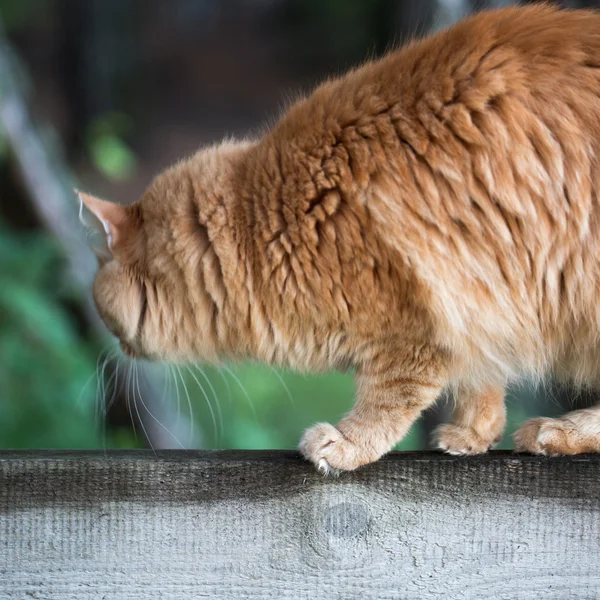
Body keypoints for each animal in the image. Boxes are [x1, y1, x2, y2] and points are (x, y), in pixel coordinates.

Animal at [79, 5, 600, 474]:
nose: (113, 348)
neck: (268, 215)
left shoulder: (423, 319)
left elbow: (392, 396)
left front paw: (348, 445)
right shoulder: (482, 310)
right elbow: (481, 385)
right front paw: (472, 435)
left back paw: (560, 431)